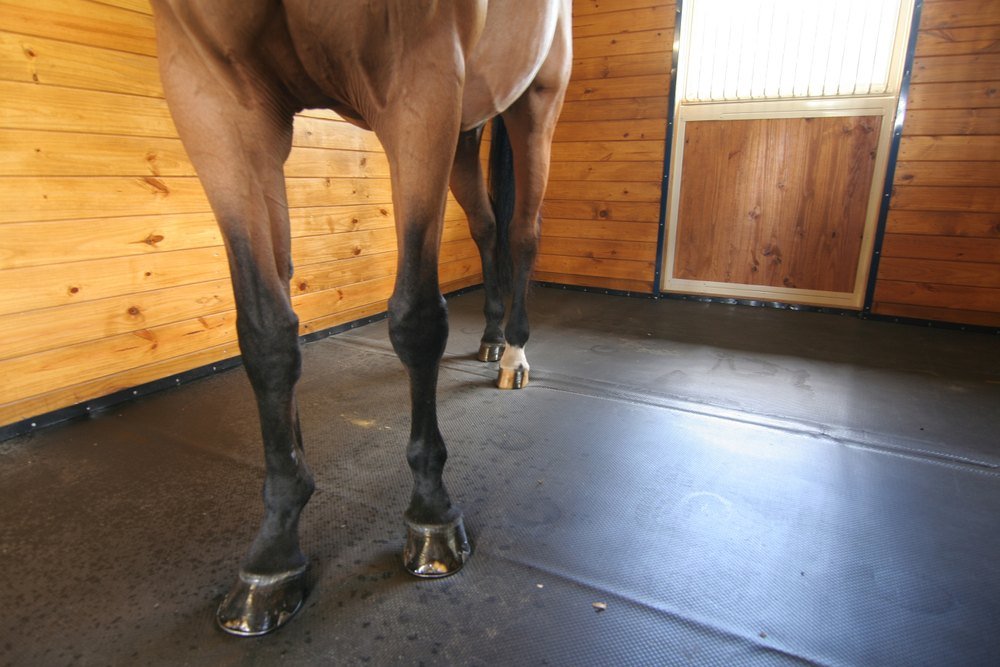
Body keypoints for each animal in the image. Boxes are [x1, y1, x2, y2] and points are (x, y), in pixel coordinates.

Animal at [150, 0, 571, 636]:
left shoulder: (421, 81)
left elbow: (417, 320)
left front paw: (431, 513)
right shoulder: (214, 99)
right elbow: (266, 332)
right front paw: (276, 547)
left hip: (535, 100)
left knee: (523, 233)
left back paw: (516, 356)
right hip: (465, 133)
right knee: (487, 226)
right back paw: (494, 338)